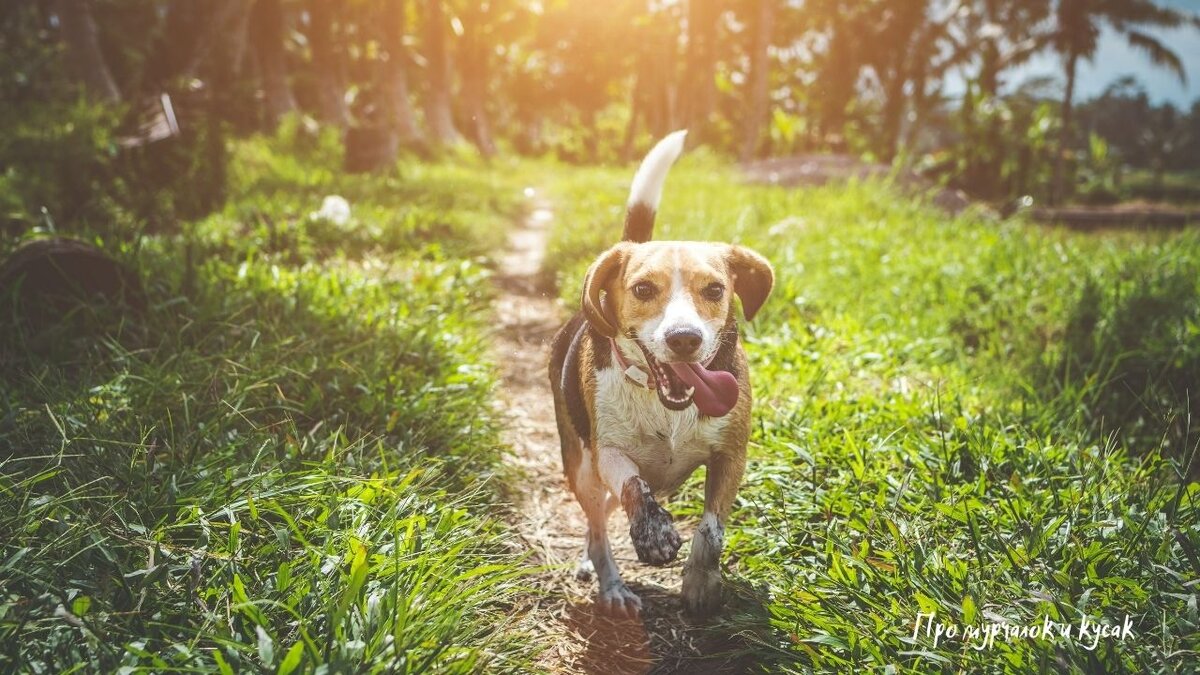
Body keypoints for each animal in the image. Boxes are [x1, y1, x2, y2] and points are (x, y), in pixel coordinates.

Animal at [549, 130, 772, 614]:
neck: (663, 403)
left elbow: (711, 529)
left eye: (715, 290)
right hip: (582, 468)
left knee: (601, 518)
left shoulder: (732, 455)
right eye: (643, 289)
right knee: (599, 527)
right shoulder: (608, 453)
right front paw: (653, 533)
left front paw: (701, 582)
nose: (684, 338)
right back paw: (611, 584)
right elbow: (634, 485)